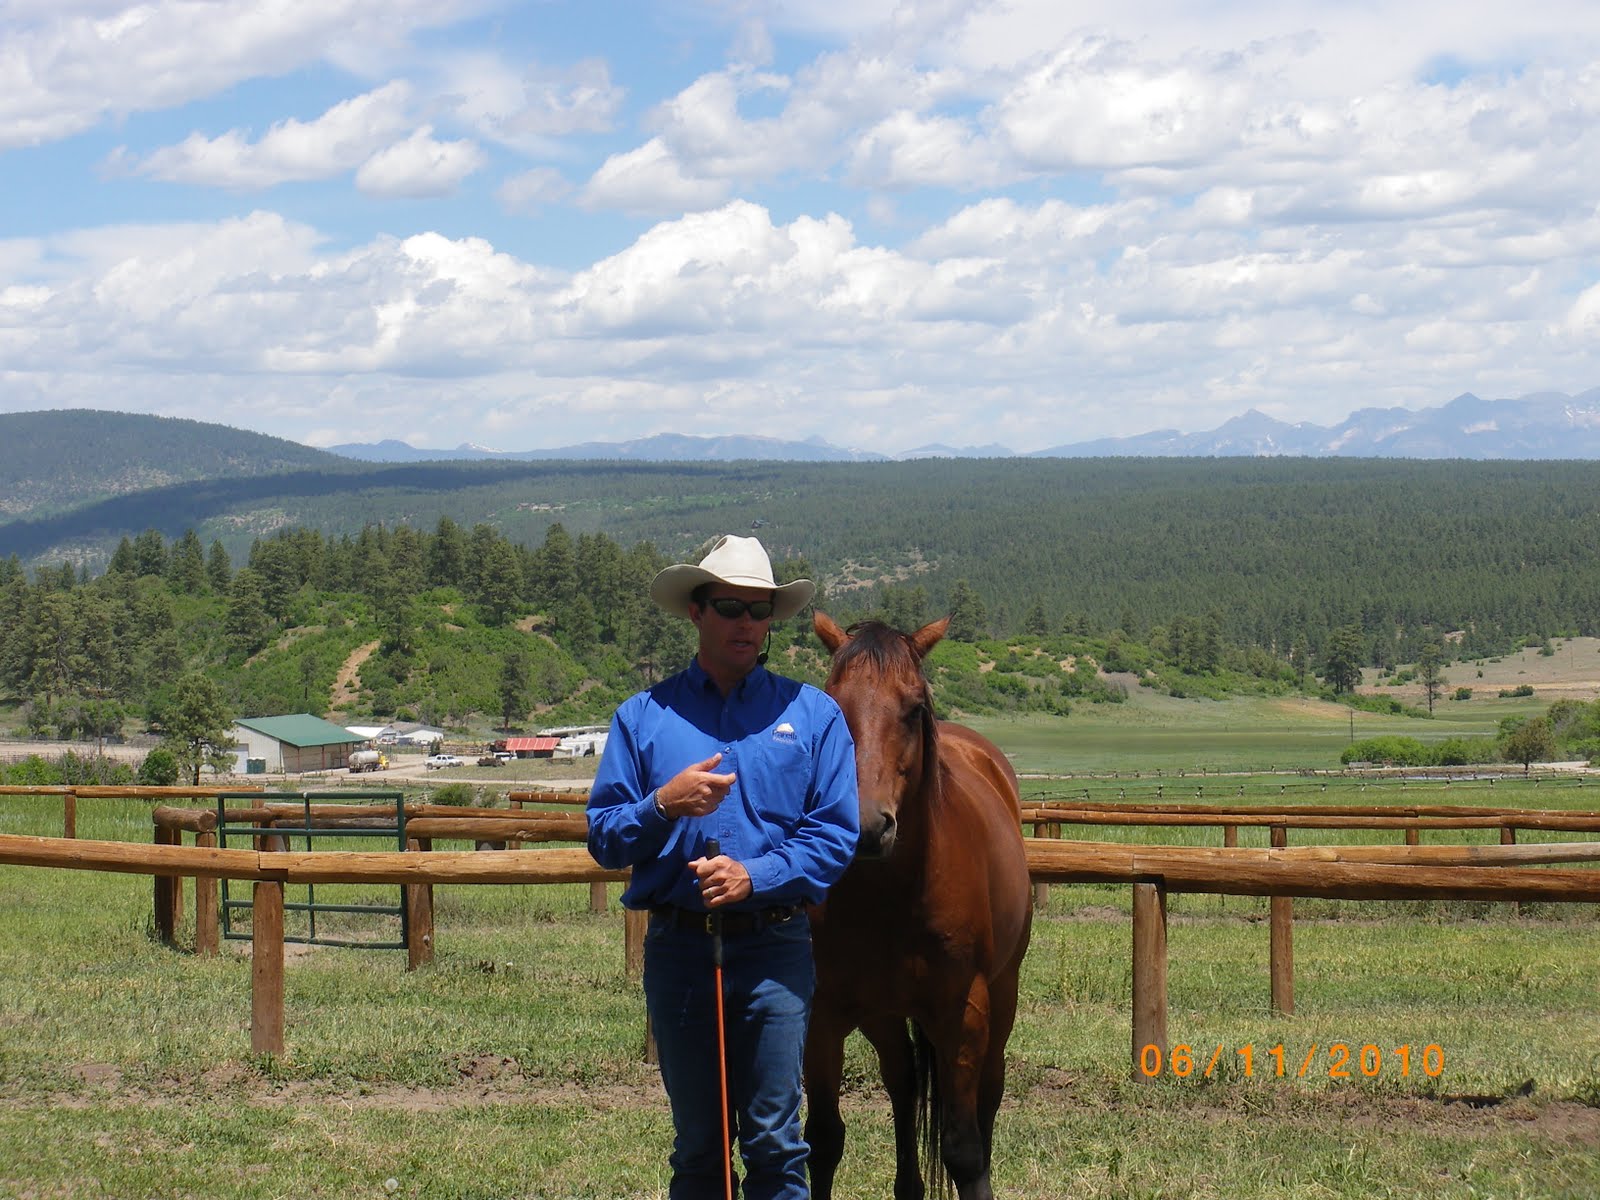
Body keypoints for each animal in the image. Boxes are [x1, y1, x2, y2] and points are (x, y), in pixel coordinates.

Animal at [805, 614, 1034, 1200]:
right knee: (903, 1084)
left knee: (987, 1098)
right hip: (884, 1013)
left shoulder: (964, 1013)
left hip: (1001, 996)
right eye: (833, 705)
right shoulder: (823, 1014)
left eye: (912, 709)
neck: (892, 897)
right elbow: (824, 1139)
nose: (866, 826)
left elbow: (965, 1149)